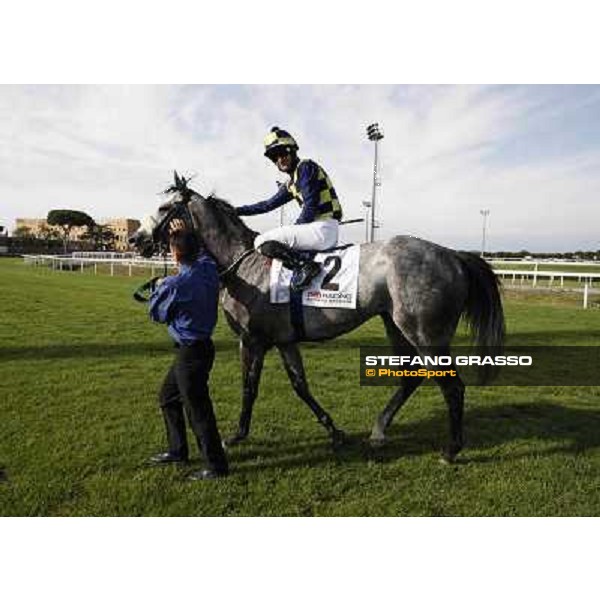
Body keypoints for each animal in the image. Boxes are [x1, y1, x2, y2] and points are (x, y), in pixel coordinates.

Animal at [131, 171, 506, 462]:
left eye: (164, 208)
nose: (136, 239)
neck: (244, 263)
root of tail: (452, 255)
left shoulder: (252, 341)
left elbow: (249, 387)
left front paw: (237, 435)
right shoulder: (284, 341)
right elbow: (301, 385)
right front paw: (334, 430)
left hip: (426, 334)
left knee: (452, 386)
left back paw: (451, 450)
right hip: (396, 327)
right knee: (411, 378)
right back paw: (379, 430)